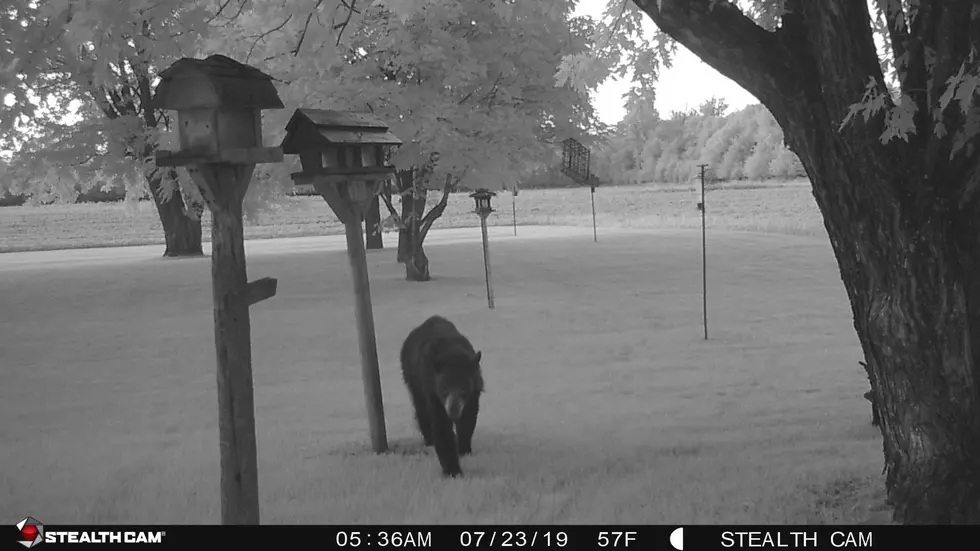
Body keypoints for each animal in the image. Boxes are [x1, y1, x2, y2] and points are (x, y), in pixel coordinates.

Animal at [400, 316, 484, 476]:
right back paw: (429, 440)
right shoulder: (432, 391)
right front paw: (452, 470)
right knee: (421, 409)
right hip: (412, 378)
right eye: (444, 390)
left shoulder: (474, 391)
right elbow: (441, 425)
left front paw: (464, 449)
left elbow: (469, 418)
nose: (453, 410)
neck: (452, 353)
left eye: (463, 389)